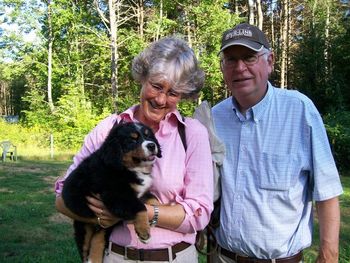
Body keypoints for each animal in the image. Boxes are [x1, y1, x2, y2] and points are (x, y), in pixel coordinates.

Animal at [61, 121, 161, 263]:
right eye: (132, 140)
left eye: (149, 136)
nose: (152, 145)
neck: (128, 168)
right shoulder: (116, 195)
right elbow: (141, 208)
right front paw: (144, 232)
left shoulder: (140, 193)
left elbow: (153, 199)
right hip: (84, 227)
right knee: (86, 248)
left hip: (104, 228)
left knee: (98, 241)